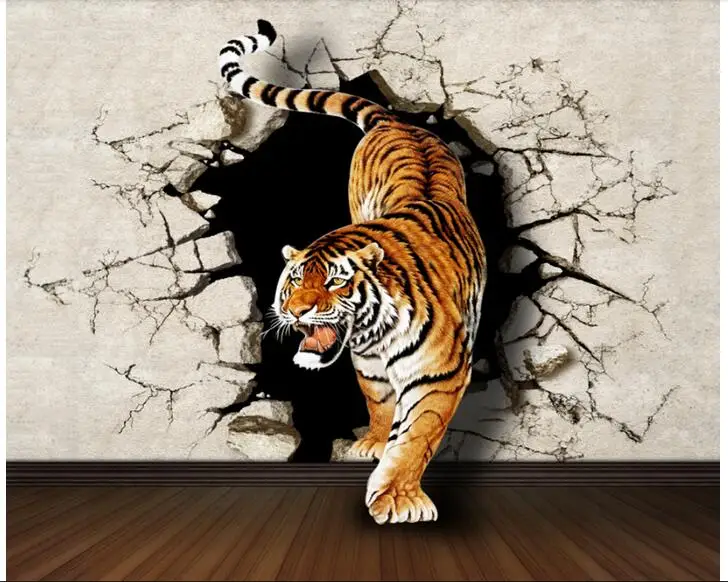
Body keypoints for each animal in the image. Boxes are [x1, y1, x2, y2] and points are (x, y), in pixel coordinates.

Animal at [218, 20, 486, 525]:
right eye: (294, 282)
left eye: (336, 282)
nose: (297, 313)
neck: (376, 332)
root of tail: (397, 121)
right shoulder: (368, 363)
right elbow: (380, 403)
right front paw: (374, 443)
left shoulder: (440, 373)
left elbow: (417, 435)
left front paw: (398, 497)